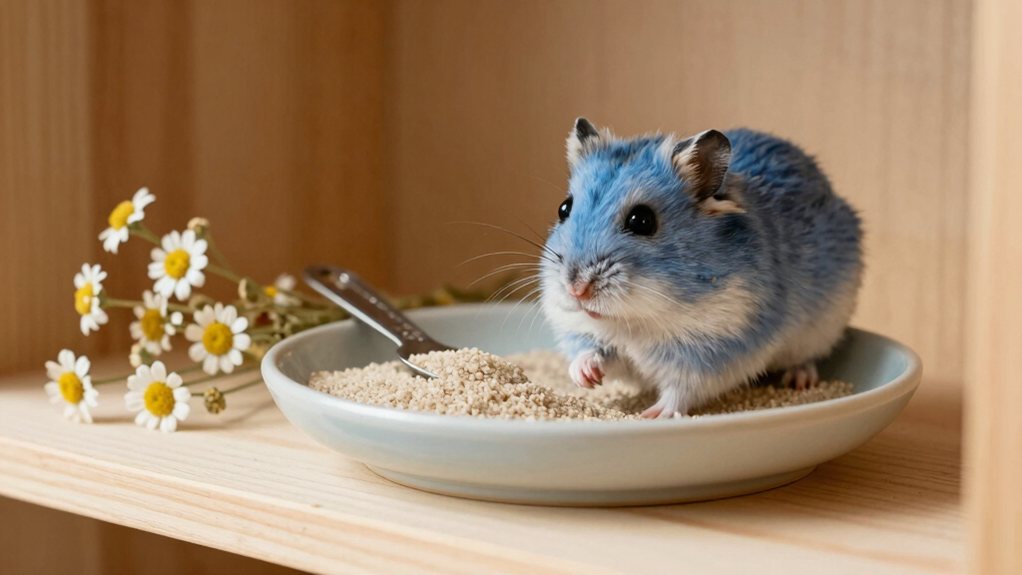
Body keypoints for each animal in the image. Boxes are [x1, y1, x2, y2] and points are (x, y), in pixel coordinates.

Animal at [540, 118, 863, 418]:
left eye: (642, 220)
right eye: (563, 208)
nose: (576, 289)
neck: (636, 320)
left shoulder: (713, 349)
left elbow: (681, 389)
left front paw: (653, 415)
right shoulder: (581, 328)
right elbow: (589, 351)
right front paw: (586, 378)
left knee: (806, 359)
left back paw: (800, 380)